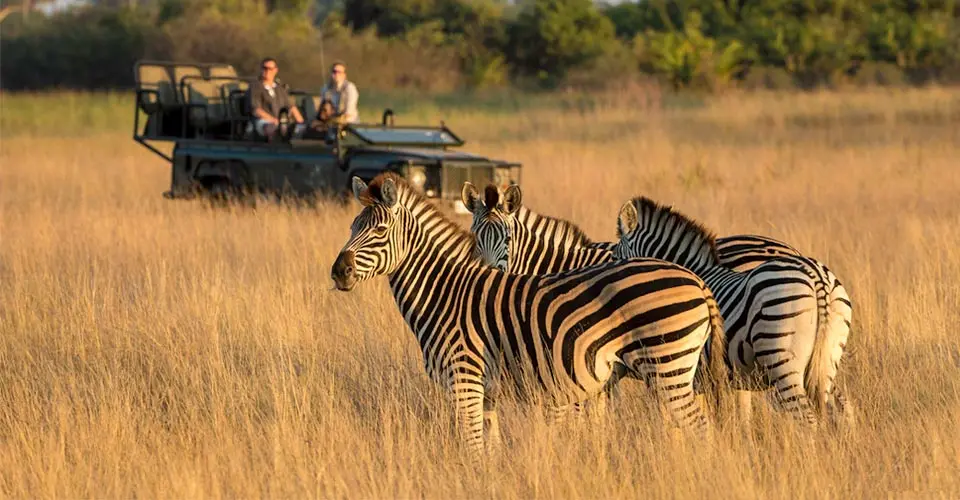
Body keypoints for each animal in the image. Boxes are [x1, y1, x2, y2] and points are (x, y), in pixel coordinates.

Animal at [330, 173, 729, 458]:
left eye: (380, 231)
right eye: (352, 228)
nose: (338, 272)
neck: (445, 292)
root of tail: (696, 279)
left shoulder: (464, 380)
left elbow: (471, 450)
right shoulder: (486, 393)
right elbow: (487, 450)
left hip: (668, 367)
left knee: (701, 430)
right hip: (679, 369)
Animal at [461, 182, 854, 428]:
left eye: (508, 238)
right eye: (474, 237)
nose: (490, 272)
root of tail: (814, 272)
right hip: (823, 360)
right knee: (840, 405)